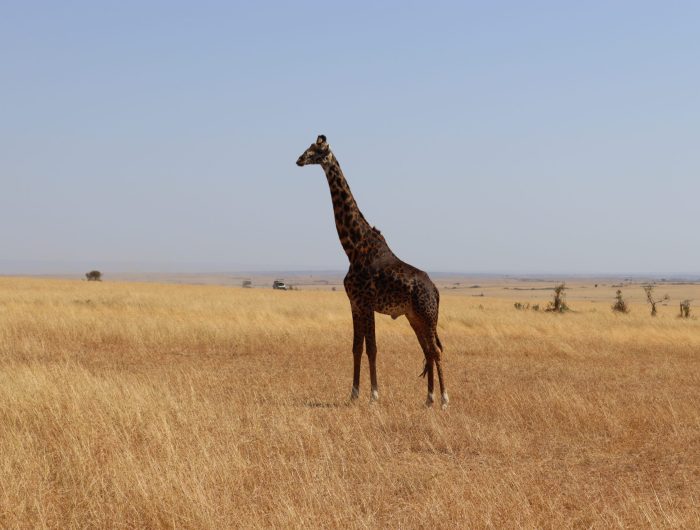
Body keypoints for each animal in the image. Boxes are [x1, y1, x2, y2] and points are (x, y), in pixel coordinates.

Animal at [296, 135, 448, 409]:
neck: (353, 246)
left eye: (317, 151)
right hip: (415, 317)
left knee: (436, 350)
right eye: (308, 148)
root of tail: (436, 291)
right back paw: (428, 399)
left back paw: (443, 399)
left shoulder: (366, 303)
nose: (299, 160)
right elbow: (356, 347)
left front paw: (374, 395)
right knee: (428, 350)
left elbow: (372, 348)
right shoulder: (355, 304)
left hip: (427, 315)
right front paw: (354, 393)